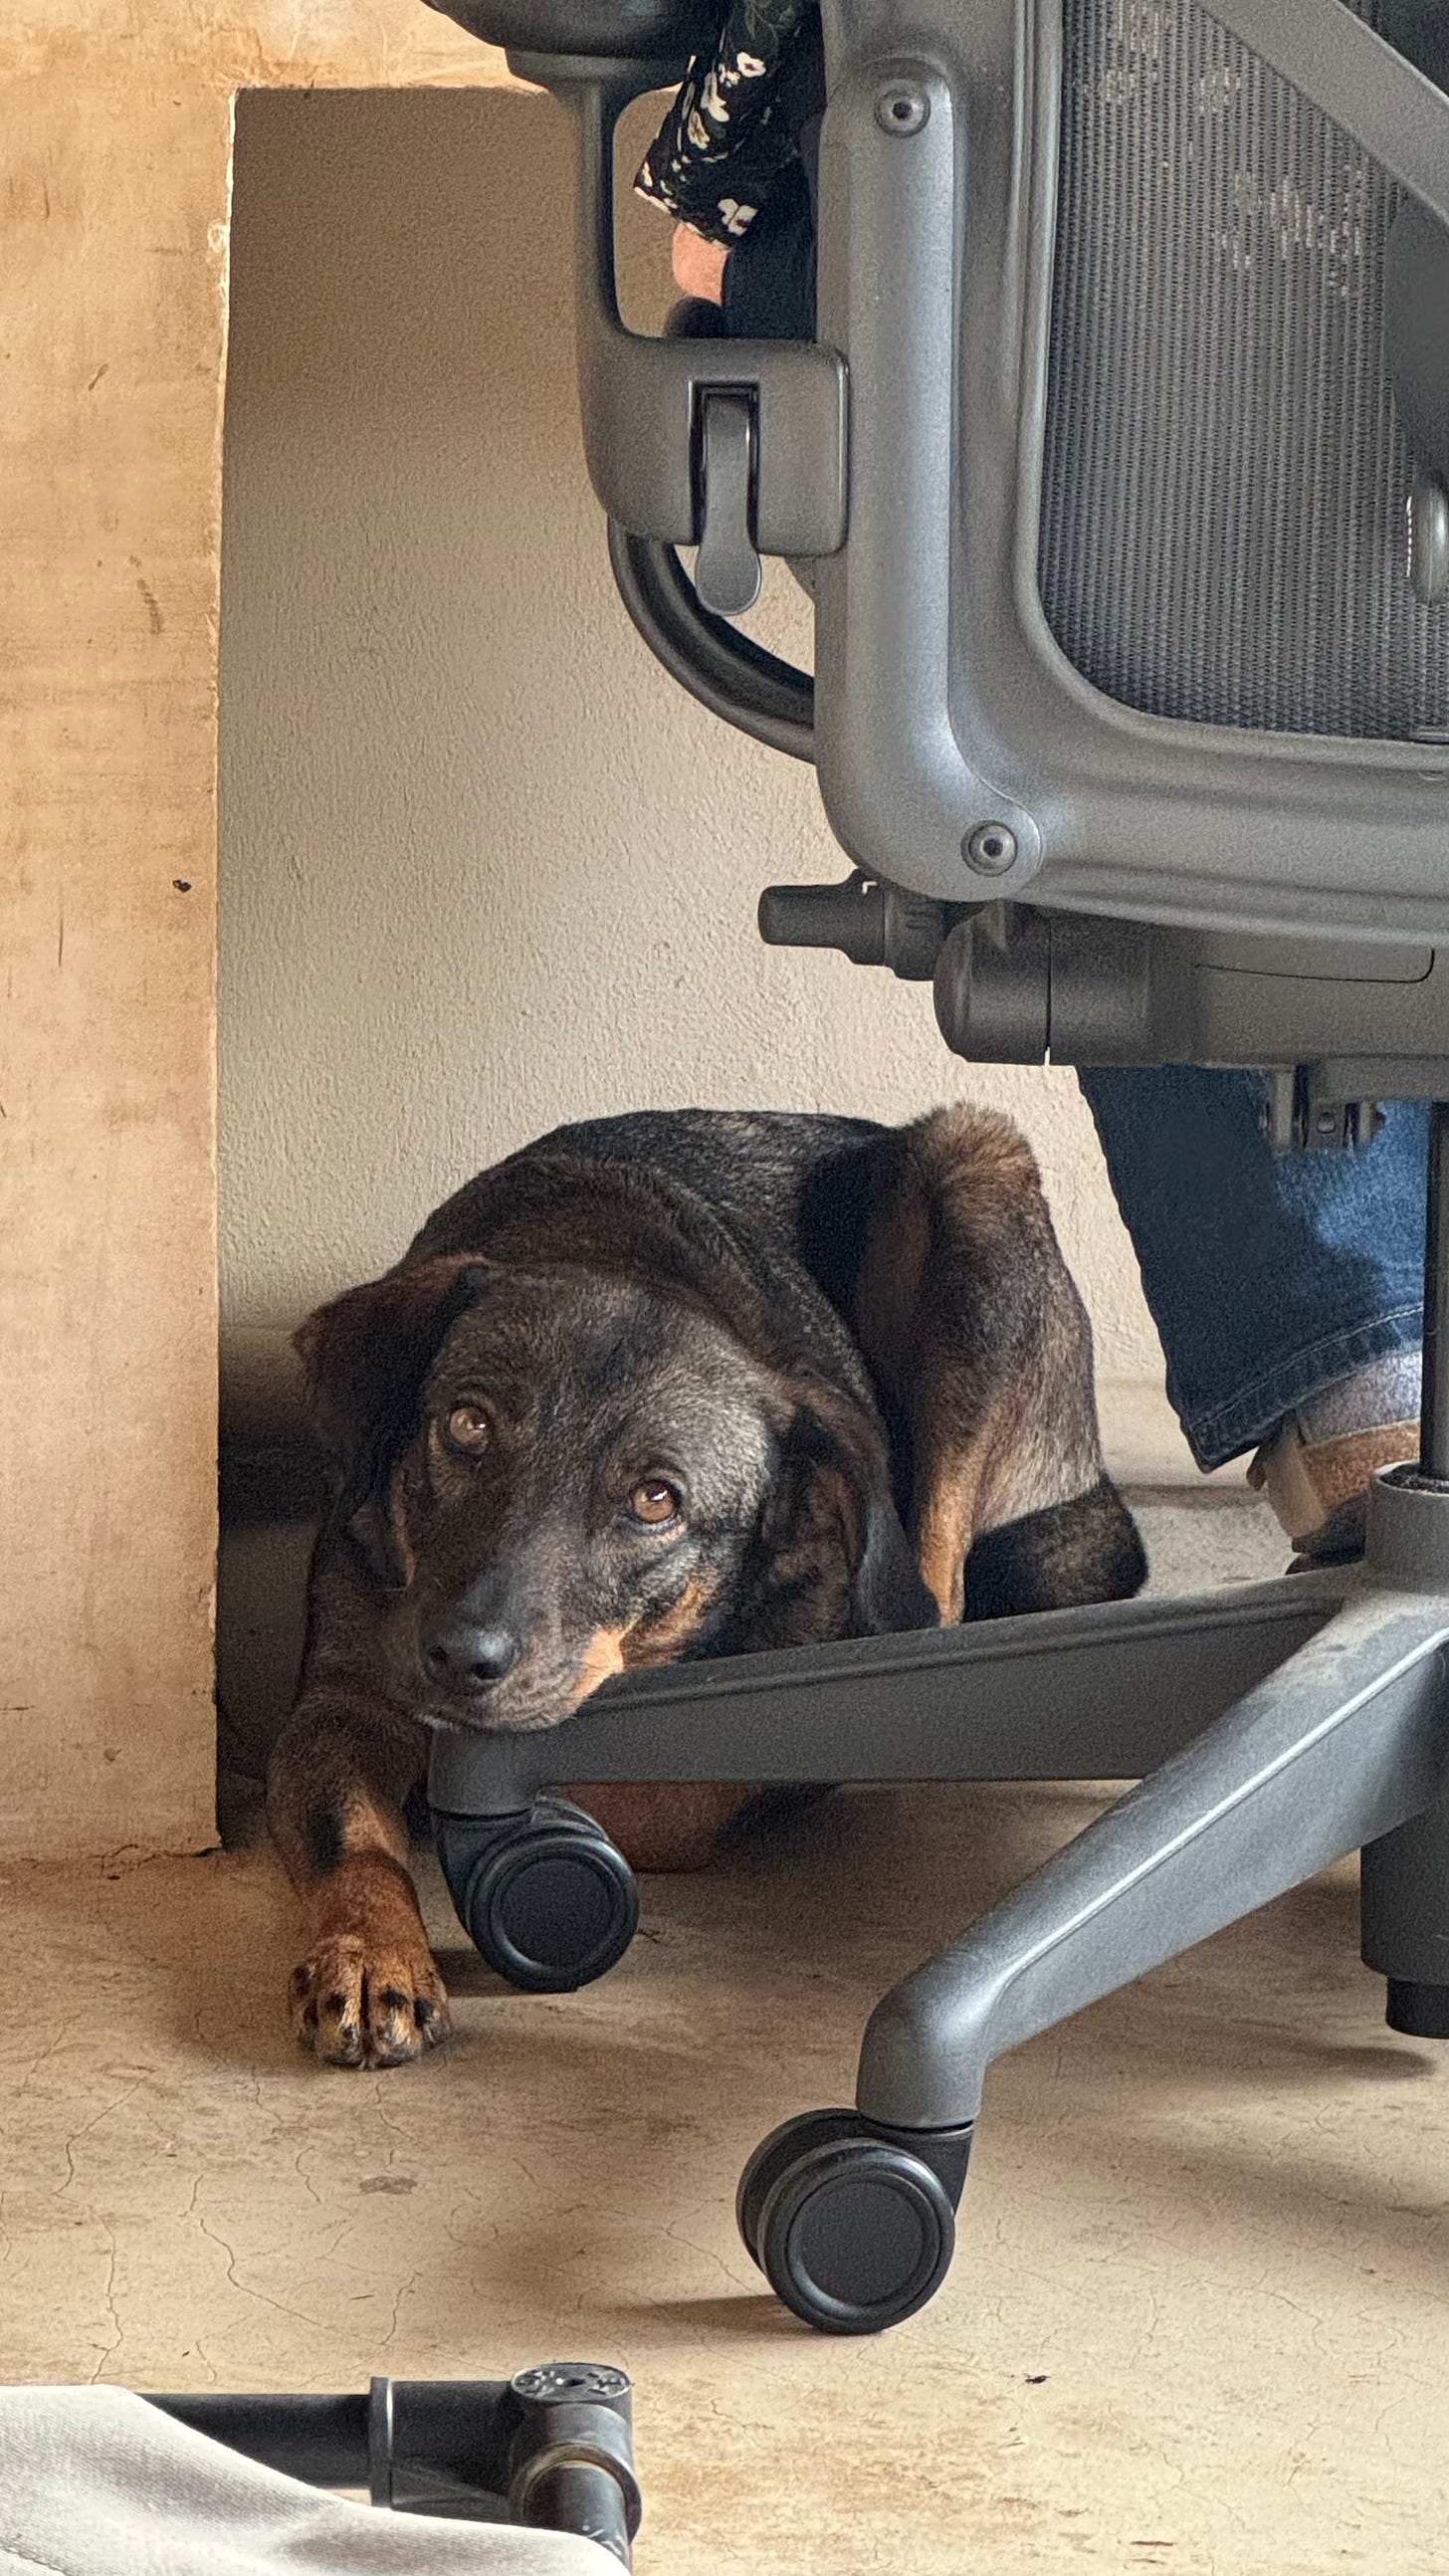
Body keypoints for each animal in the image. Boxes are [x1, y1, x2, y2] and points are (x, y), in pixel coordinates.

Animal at [264, 1107, 1147, 2070]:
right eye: (467, 1425)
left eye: (657, 1500)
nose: (461, 1657)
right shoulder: (337, 1706)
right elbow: (353, 1841)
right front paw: (368, 1952)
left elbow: (640, 1797)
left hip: (975, 1188)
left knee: (942, 1595)